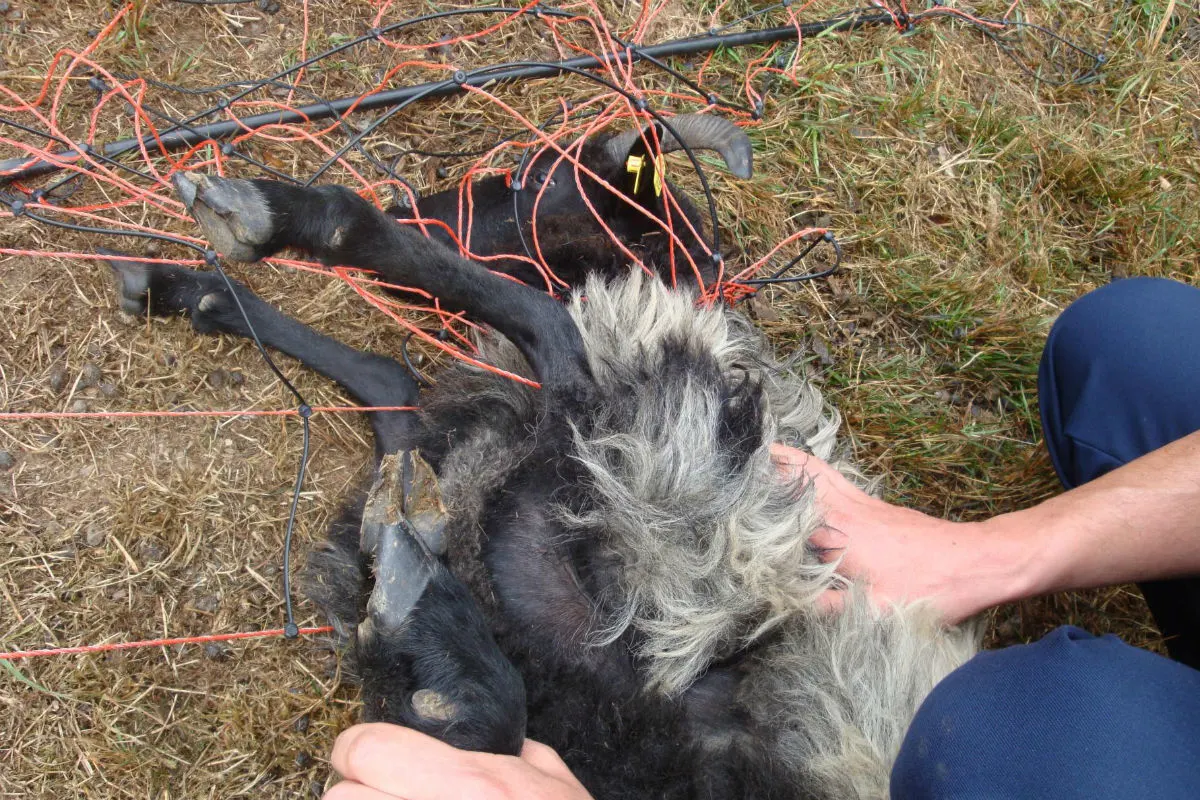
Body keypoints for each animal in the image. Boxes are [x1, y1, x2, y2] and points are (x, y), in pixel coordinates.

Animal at [103, 114, 978, 799]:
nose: (414, 207)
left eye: (529, 178)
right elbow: (389, 383)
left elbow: (523, 327)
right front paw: (192, 292)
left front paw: (271, 221)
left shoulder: (651, 468)